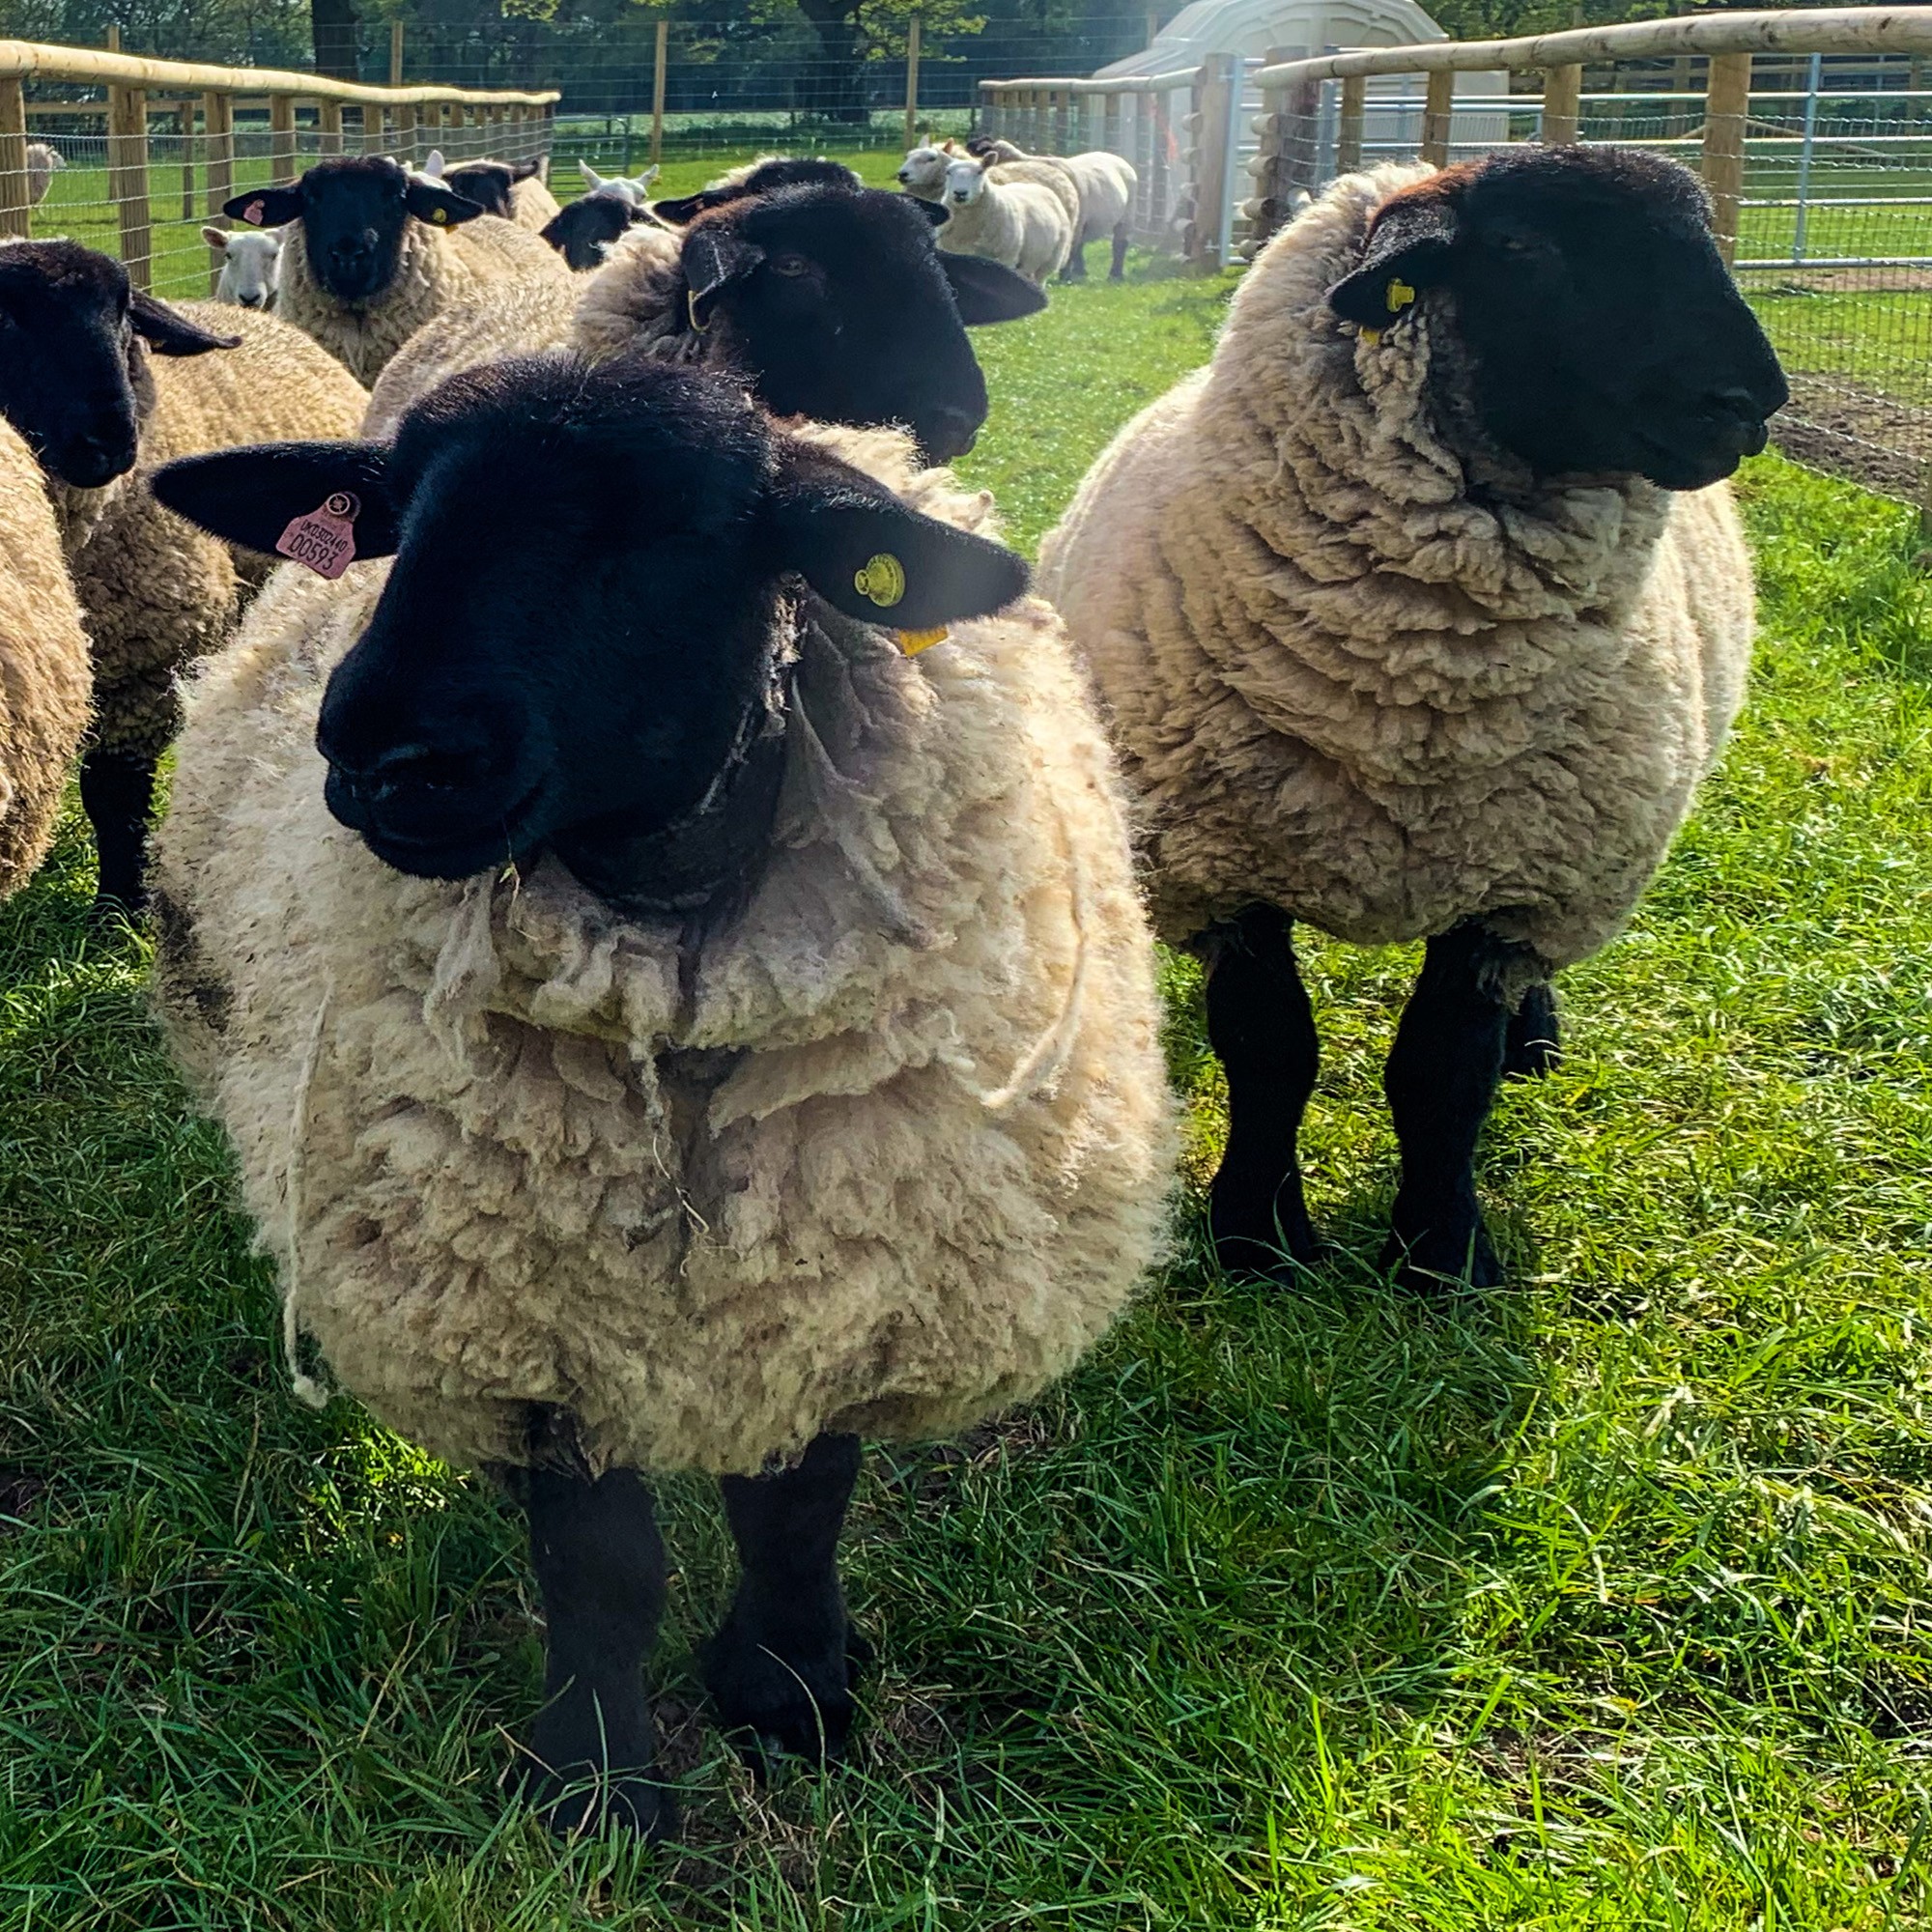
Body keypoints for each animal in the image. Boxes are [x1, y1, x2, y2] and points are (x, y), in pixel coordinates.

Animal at [0, 236, 369, 912]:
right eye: (3, 315)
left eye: (124, 314)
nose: (111, 439)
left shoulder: (145, 669)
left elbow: (114, 799)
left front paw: (119, 906)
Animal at [147, 348, 1175, 1839]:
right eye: (397, 513)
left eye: (680, 528)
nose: (383, 751)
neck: (678, 1016)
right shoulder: (528, 1305)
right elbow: (601, 1560)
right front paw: (595, 1778)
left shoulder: (843, 1278)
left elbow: (798, 1505)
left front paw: (791, 1691)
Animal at [931, 154, 1074, 286]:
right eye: (948, 172)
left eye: (980, 171)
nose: (960, 193)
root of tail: (1041, 188)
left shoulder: (1006, 258)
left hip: (1049, 262)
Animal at [1036, 147, 1785, 1298]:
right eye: (1520, 247)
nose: (1752, 399)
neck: (1412, 695)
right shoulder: (1230, 868)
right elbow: (1271, 1052)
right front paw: (1258, 1239)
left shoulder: (1516, 883)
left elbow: (1443, 1071)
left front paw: (1441, 1250)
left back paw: (1535, 1039)